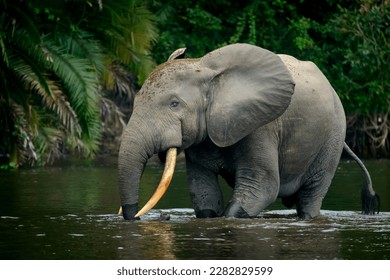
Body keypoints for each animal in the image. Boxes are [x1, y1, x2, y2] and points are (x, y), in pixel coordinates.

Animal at [117, 42, 380, 220]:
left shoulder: (261, 126)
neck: (205, 68)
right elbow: (204, 193)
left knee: (310, 198)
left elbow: (262, 187)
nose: (135, 216)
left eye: (174, 104)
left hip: (333, 136)